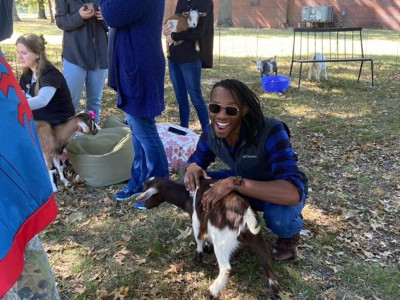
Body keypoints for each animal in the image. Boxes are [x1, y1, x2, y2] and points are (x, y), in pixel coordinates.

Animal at [136, 177, 280, 298]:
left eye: (145, 192)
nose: (145, 205)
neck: (188, 196)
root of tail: (245, 213)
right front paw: (207, 248)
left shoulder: (197, 221)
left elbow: (199, 238)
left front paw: (198, 258)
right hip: (255, 236)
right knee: (266, 258)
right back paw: (275, 288)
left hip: (222, 240)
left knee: (226, 269)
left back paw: (211, 292)